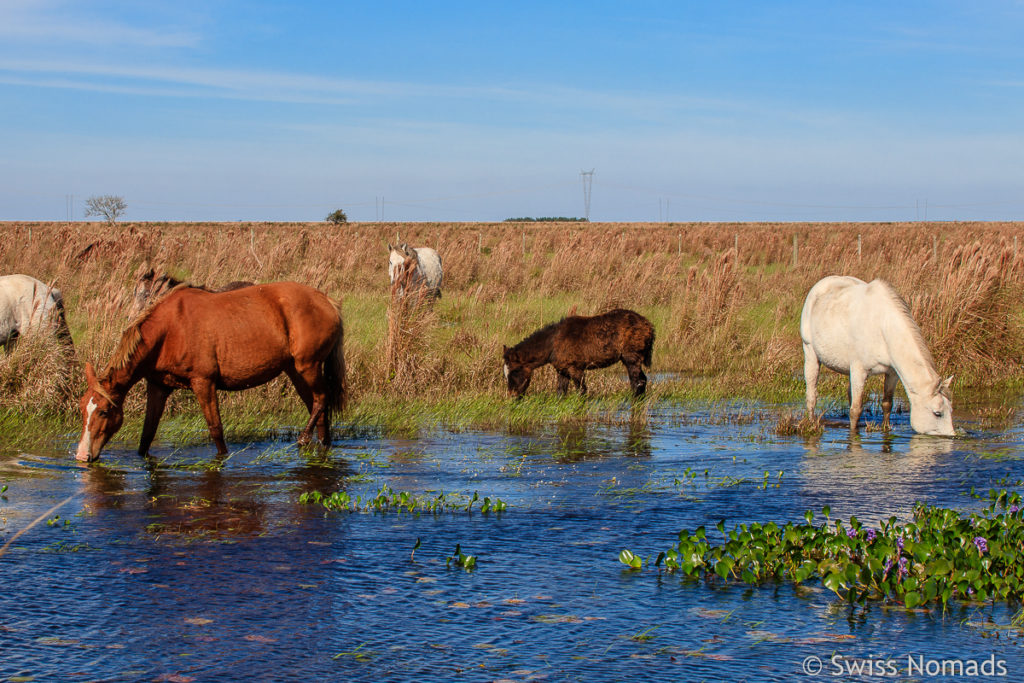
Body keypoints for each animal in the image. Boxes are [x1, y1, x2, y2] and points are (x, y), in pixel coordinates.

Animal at [75, 280, 346, 462]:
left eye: (104, 411)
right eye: (82, 409)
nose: (81, 455)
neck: (169, 330)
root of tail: (328, 302)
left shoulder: (203, 382)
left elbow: (216, 430)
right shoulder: (158, 386)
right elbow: (147, 434)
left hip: (308, 366)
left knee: (321, 399)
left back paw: (303, 439)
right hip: (295, 370)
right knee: (318, 408)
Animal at [503, 309, 655, 397]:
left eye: (514, 372)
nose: (512, 396)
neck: (552, 343)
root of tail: (649, 325)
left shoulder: (576, 368)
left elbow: (581, 391)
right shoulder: (562, 370)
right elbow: (561, 392)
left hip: (631, 358)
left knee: (637, 382)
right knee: (642, 381)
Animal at [798, 274, 950, 436]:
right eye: (937, 413)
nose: (952, 437)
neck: (883, 328)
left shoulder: (892, 373)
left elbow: (887, 403)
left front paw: (886, 429)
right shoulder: (859, 371)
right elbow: (856, 410)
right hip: (810, 352)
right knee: (811, 395)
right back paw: (812, 423)